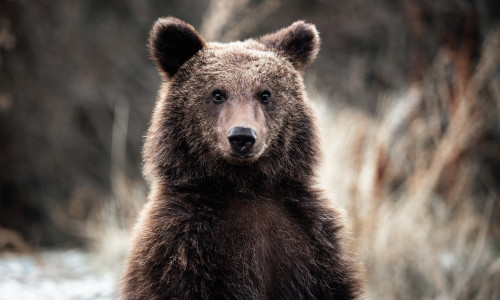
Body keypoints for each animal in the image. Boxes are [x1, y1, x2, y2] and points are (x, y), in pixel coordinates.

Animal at [120, 17, 364, 300]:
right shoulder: (181, 250)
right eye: (217, 93)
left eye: (265, 94)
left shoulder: (312, 246)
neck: (245, 187)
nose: (242, 136)